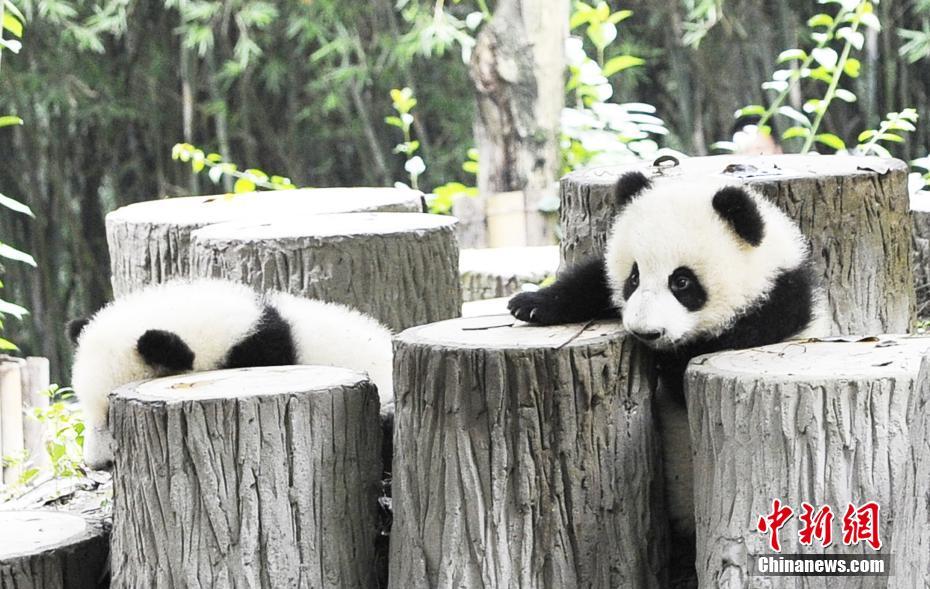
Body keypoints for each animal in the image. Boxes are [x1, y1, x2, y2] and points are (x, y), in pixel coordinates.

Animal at [508, 171, 828, 574]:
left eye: (682, 282)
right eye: (633, 278)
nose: (646, 332)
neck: (768, 275)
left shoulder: (775, 314)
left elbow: (685, 378)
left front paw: (665, 361)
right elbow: (593, 278)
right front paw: (532, 304)